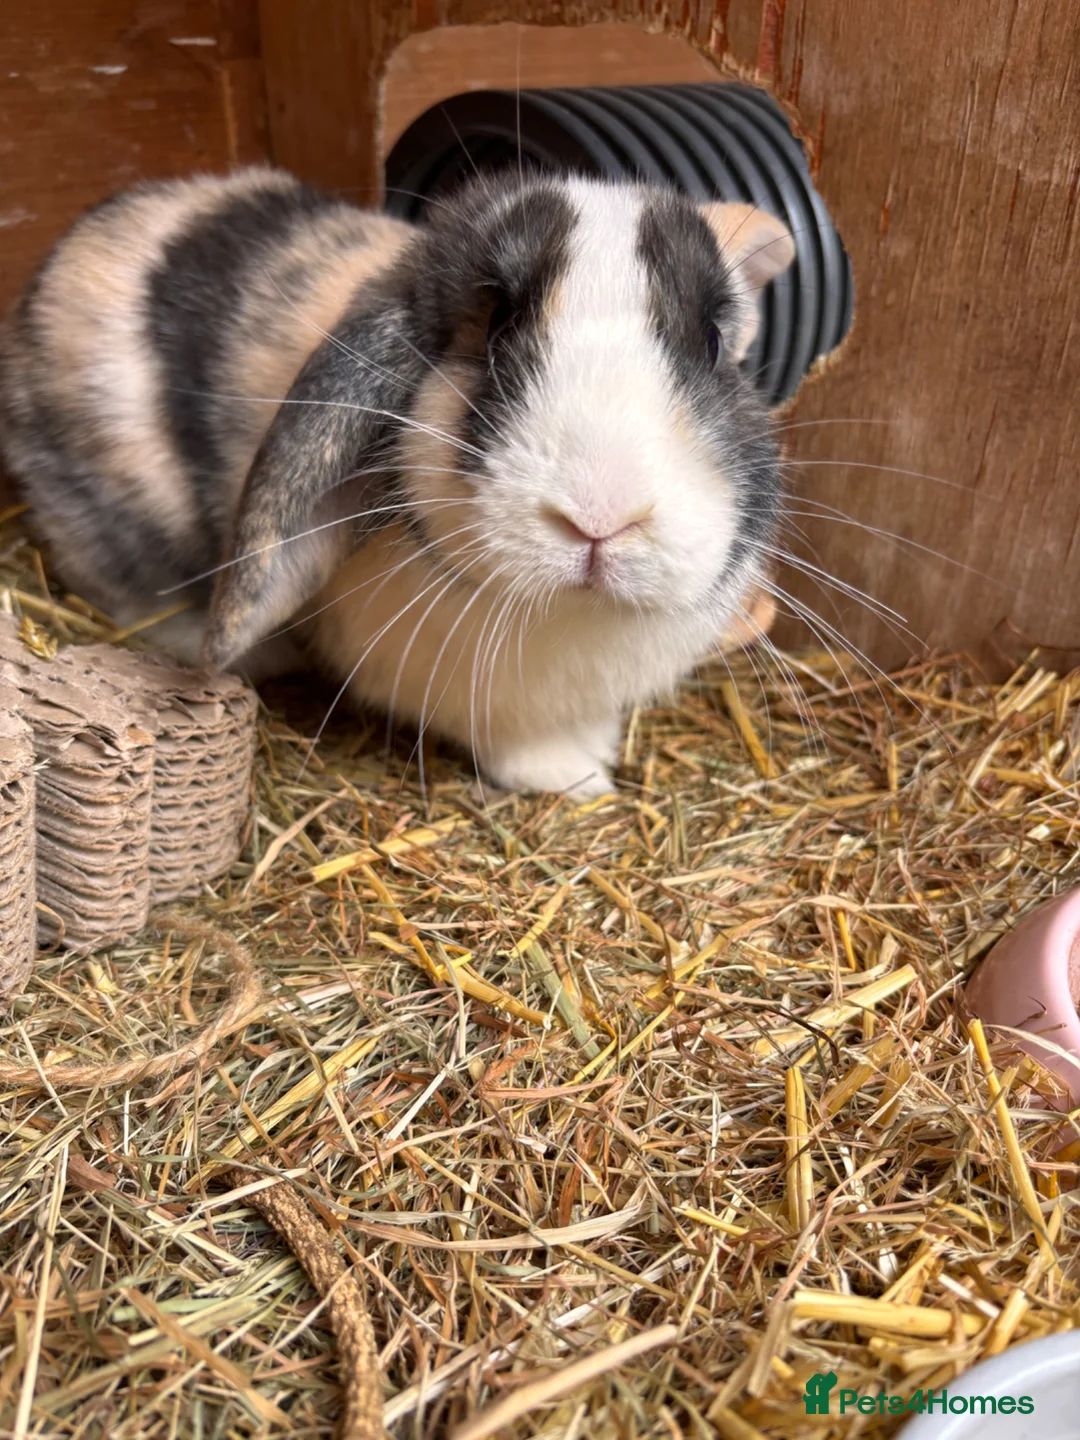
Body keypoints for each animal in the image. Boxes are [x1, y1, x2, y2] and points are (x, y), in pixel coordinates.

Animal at [0, 164, 794, 799]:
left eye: (714, 343)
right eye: (496, 327)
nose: (601, 517)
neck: (574, 613)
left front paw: (597, 757)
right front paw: (579, 782)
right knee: (131, 589)